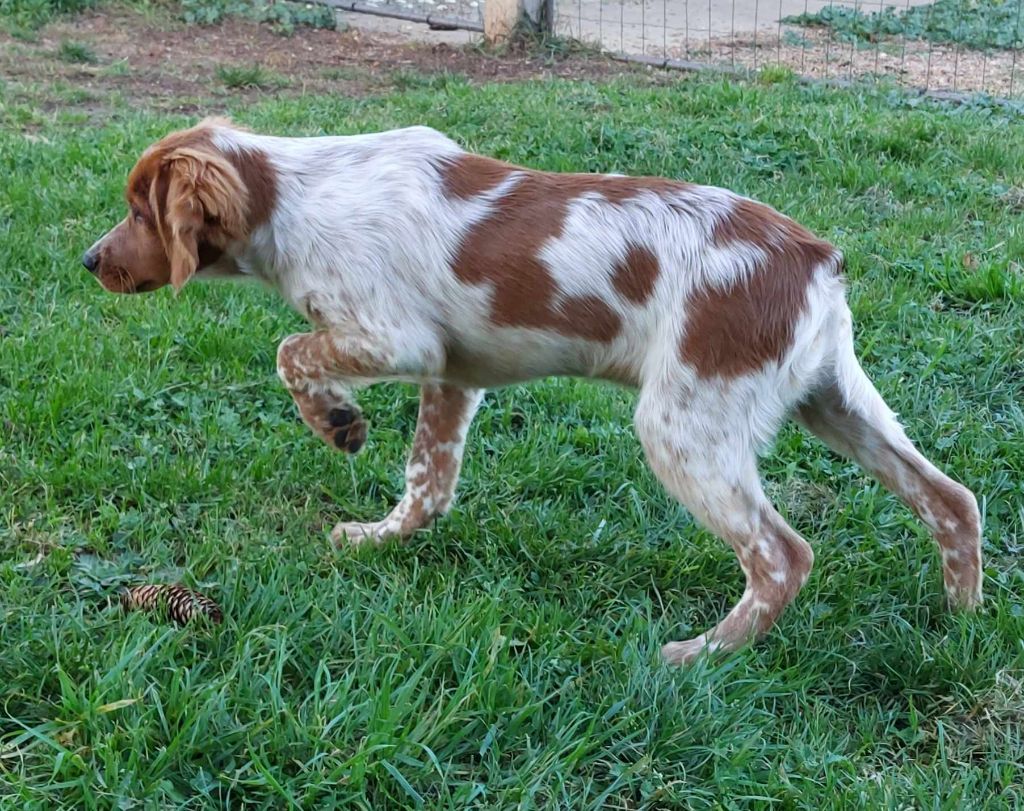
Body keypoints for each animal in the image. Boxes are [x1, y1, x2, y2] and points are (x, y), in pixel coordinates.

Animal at [83, 118, 982, 664]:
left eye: (140, 211)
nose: (90, 261)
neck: (290, 190)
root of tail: (813, 258)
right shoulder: (454, 372)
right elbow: (427, 481)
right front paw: (381, 538)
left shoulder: (394, 336)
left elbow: (290, 350)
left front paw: (337, 420)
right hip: (835, 400)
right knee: (952, 499)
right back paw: (960, 625)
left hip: (683, 422)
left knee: (782, 554)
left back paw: (700, 654)